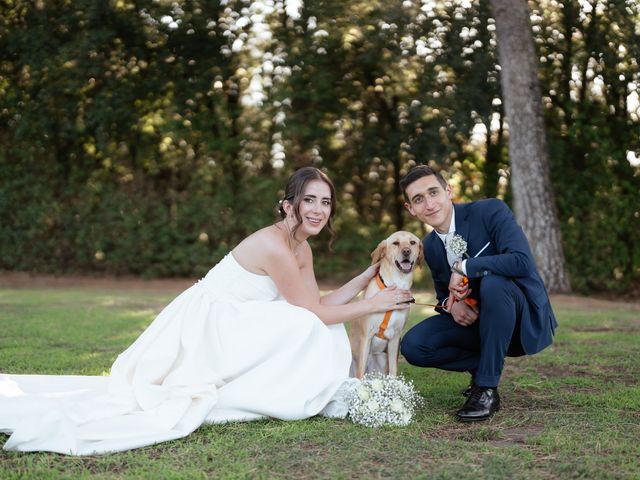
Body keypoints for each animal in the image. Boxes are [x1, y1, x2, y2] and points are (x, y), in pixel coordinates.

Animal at [350, 230, 424, 378]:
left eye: (412, 242)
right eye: (396, 243)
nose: (406, 251)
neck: (397, 284)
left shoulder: (395, 338)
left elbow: (393, 371)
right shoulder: (366, 335)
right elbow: (360, 372)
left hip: (382, 358)